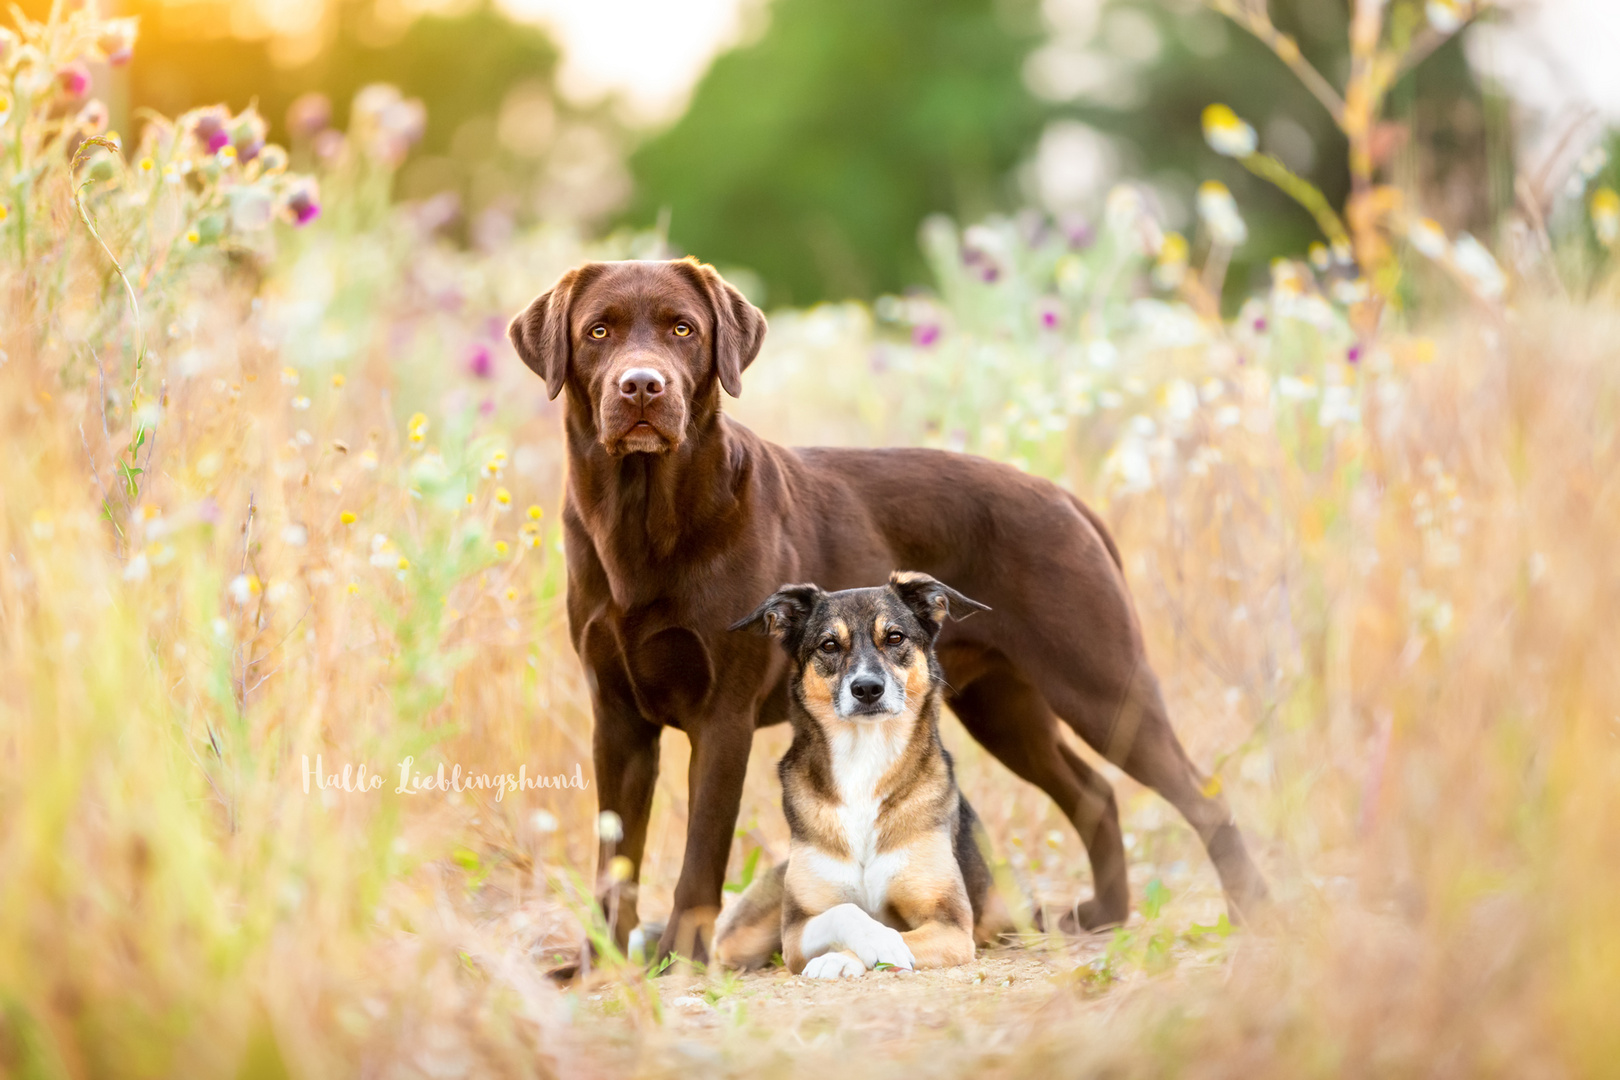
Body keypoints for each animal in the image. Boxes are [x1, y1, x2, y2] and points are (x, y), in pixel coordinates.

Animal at [712, 573, 1004, 977]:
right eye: (829, 645)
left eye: (895, 637)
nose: (867, 688)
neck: (863, 760)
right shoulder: (795, 931)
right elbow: (847, 911)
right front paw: (874, 941)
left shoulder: (952, 926)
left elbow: (899, 937)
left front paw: (846, 956)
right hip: (741, 938)